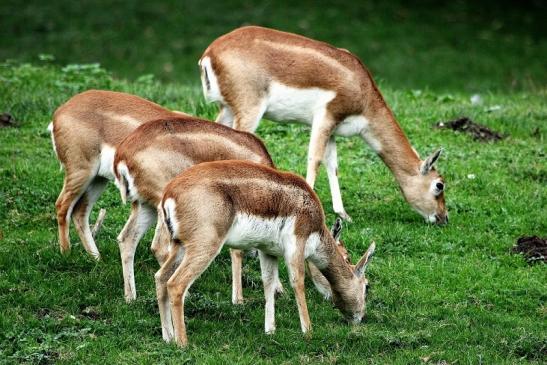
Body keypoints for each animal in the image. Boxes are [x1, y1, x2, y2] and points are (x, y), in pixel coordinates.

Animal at [49, 89, 187, 258]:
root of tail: (60, 112)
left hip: (98, 179)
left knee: (79, 211)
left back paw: (96, 258)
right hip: (81, 172)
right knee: (62, 206)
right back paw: (67, 254)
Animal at [112, 116, 282, 302]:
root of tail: (122, 156)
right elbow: (237, 251)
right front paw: (238, 299)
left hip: (146, 207)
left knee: (127, 238)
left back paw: (130, 297)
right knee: (159, 248)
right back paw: (186, 295)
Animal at [156, 161, 374, 346]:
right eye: (367, 286)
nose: (360, 317)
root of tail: (169, 193)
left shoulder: (268, 251)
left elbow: (268, 283)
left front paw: (270, 331)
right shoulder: (296, 243)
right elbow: (297, 282)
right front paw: (308, 332)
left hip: (179, 246)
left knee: (160, 277)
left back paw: (168, 337)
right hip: (205, 246)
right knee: (176, 284)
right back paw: (183, 343)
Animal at [199, 24, 448, 222]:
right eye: (439, 185)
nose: (443, 218)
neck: (363, 89)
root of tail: (210, 52)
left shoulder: (333, 129)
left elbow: (333, 165)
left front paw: (343, 214)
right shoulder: (324, 118)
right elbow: (315, 159)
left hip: (227, 109)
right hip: (250, 110)